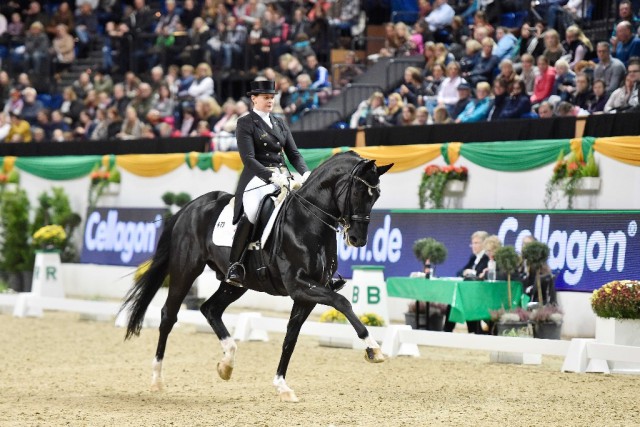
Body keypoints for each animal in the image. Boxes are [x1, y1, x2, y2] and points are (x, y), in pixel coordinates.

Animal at [117, 152, 392, 402]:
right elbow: (342, 302)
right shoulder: (299, 285)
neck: (307, 221)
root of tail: (191, 206)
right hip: (186, 269)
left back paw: (226, 364)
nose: (357, 239)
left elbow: (291, 337)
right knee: (168, 315)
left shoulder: (306, 295)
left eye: (377, 195)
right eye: (359, 192)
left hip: (237, 283)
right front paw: (373, 349)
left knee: (210, 309)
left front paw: (282, 386)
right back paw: (157, 380)